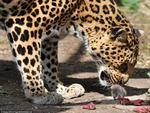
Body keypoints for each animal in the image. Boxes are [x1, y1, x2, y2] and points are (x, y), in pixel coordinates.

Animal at [0, 0, 143, 104]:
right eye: (124, 66)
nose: (124, 82)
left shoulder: (49, 37)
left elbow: (50, 65)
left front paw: (62, 89)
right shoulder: (24, 24)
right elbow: (31, 65)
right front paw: (38, 94)